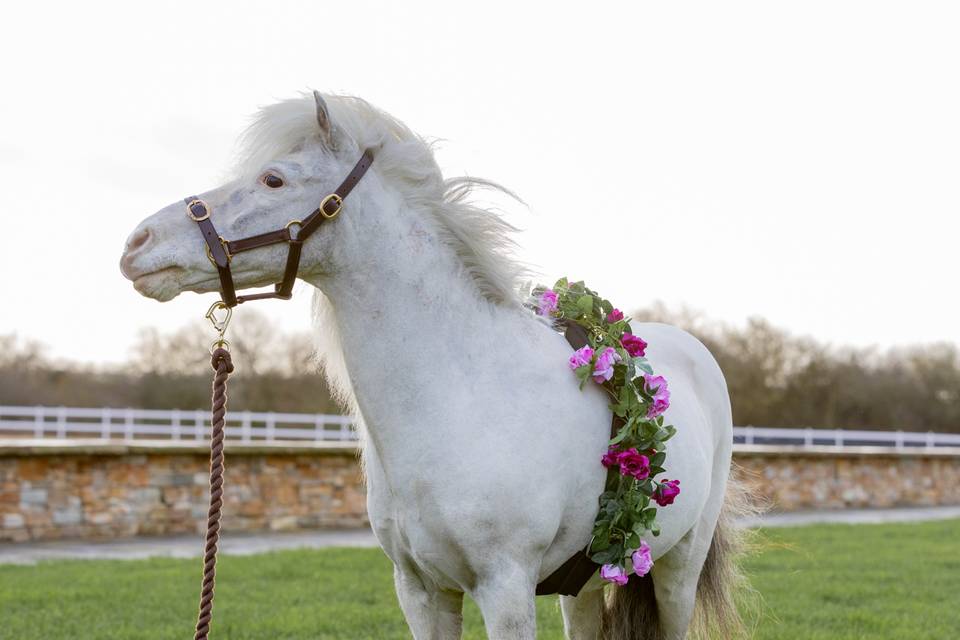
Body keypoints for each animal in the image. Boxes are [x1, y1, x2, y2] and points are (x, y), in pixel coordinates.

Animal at [120, 92, 750, 640]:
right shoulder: (420, 591)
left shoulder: (506, 590)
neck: (457, 397)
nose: (136, 244)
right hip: (588, 584)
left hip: (677, 570)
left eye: (273, 178)